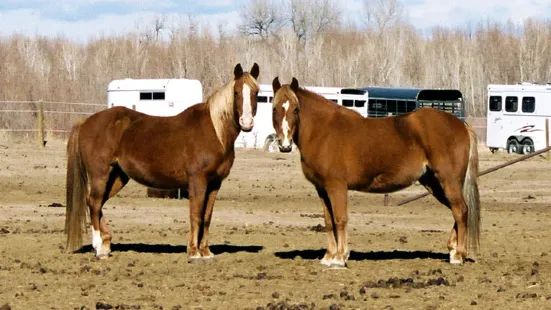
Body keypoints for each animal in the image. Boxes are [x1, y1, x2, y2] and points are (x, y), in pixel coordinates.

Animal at [65, 63, 260, 262]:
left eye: (256, 92)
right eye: (236, 92)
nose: (246, 123)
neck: (215, 132)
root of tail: (86, 121)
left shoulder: (215, 183)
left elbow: (206, 217)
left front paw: (206, 252)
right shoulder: (197, 181)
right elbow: (195, 215)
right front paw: (194, 252)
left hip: (118, 177)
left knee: (95, 203)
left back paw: (105, 246)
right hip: (100, 174)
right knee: (94, 203)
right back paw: (98, 248)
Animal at [272, 77, 478, 266]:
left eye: (295, 109)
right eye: (274, 109)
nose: (284, 145)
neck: (324, 132)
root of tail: (461, 125)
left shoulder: (337, 186)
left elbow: (340, 219)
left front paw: (340, 258)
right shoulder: (322, 189)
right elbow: (329, 221)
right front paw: (329, 256)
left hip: (448, 181)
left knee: (460, 210)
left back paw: (459, 255)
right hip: (434, 183)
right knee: (456, 210)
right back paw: (452, 250)